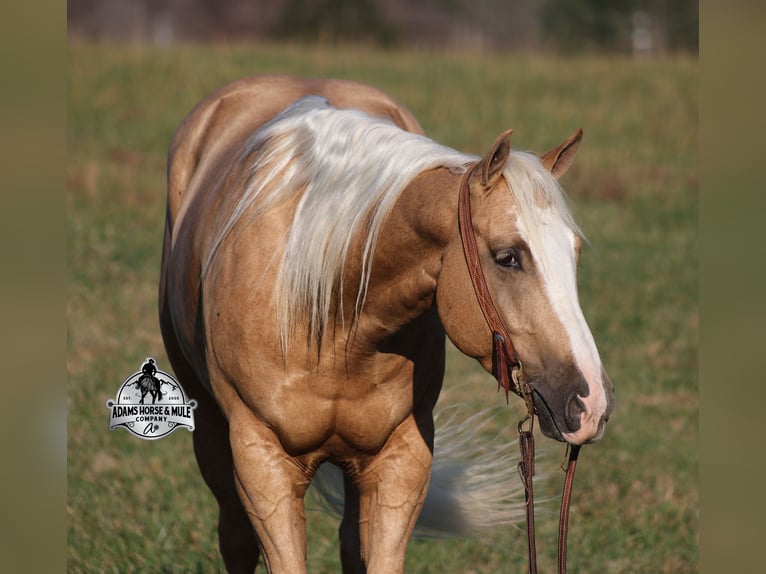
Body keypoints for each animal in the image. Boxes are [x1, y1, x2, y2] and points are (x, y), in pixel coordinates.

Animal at [159, 75, 614, 573]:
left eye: (575, 253)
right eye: (508, 257)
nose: (591, 403)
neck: (329, 316)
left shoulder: (401, 460)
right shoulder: (262, 462)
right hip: (211, 432)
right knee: (236, 539)